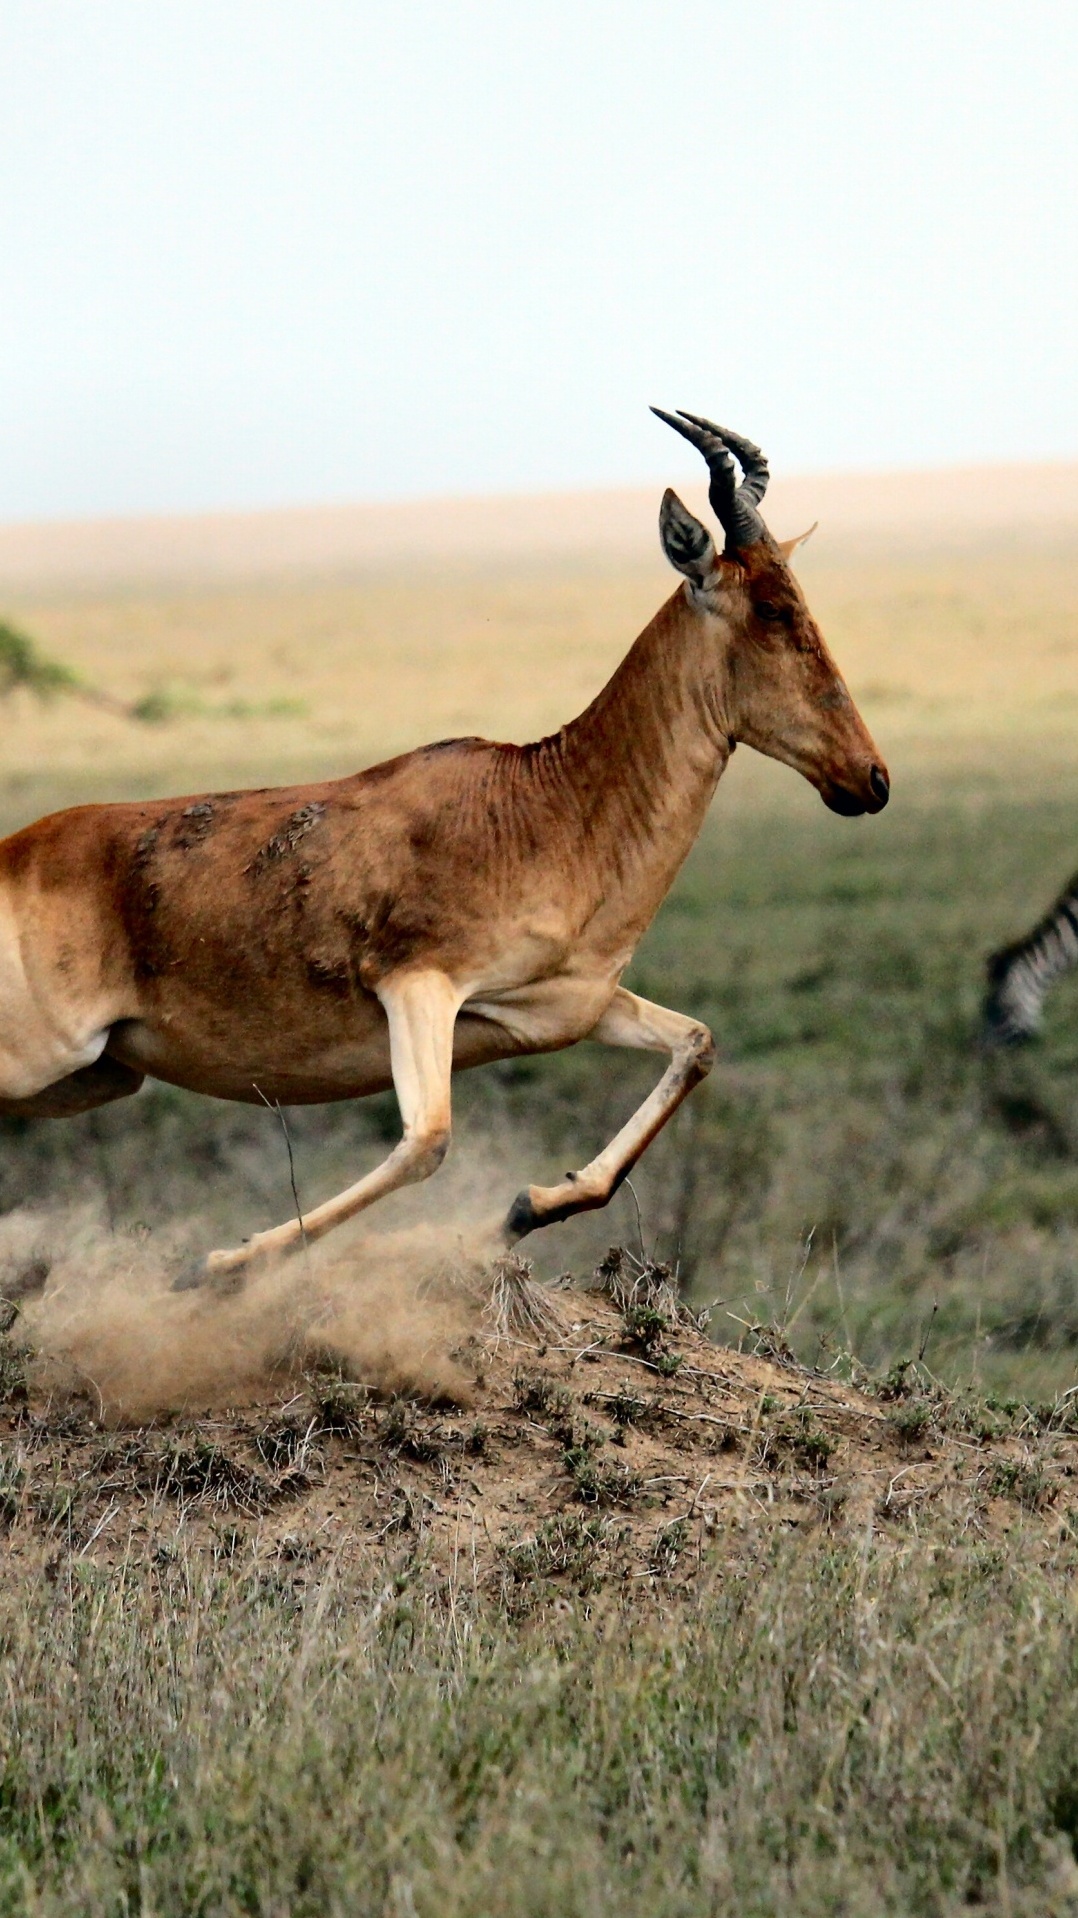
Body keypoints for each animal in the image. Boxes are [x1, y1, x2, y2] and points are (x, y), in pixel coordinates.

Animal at [0, 421, 890, 1288]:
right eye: (772, 608)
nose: (870, 779)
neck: (542, 802)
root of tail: (18, 852)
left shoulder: (571, 1006)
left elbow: (695, 1045)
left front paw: (525, 1208)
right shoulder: (418, 985)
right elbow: (426, 1140)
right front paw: (219, 1263)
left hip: (99, 1075)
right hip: (44, 1058)